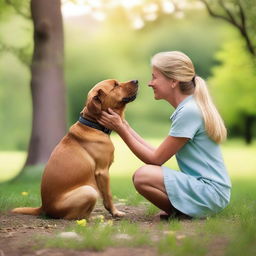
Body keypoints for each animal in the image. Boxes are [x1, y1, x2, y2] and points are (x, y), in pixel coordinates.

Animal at [12, 79, 138, 219]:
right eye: (115, 85)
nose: (136, 80)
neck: (93, 125)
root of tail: (43, 207)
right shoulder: (103, 172)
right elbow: (108, 196)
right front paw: (115, 212)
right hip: (89, 190)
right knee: (74, 217)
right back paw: (93, 217)